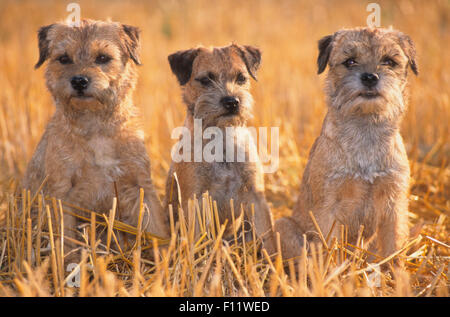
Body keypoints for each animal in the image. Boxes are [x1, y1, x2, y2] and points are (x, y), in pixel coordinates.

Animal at [21, 19, 169, 256]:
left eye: (102, 58)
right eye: (64, 58)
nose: (79, 81)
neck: (95, 126)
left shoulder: (141, 186)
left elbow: (156, 228)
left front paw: (164, 259)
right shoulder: (62, 192)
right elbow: (67, 239)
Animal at [167, 43, 276, 254]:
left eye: (241, 77)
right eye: (205, 80)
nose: (232, 101)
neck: (221, 139)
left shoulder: (256, 196)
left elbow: (268, 239)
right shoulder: (194, 200)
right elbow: (196, 244)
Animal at [274, 27, 418, 264]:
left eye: (389, 61)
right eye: (350, 61)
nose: (370, 77)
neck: (366, 128)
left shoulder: (394, 205)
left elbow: (394, 249)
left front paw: (397, 273)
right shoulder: (330, 207)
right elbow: (329, 249)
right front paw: (333, 273)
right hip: (282, 225)